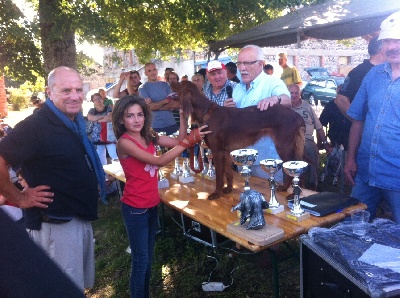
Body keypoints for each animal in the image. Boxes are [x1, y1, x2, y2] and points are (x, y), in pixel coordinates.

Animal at [172, 80, 306, 199]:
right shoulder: (225, 152)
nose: (170, 81)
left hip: (284, 146)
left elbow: (219, 176)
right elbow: (228, 173)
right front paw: (229, 189)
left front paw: (216, 194)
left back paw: (292, 193)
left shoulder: (217, 151)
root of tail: (295, 114)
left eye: (179, 84)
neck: (206, 112)